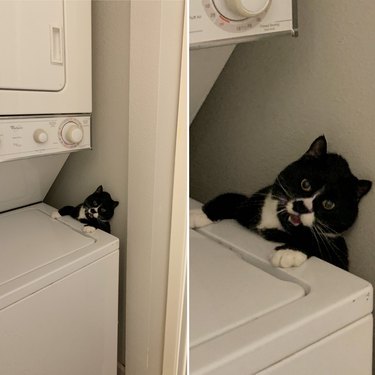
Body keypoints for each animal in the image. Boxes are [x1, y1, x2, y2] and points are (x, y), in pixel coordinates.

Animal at [191, 137, 374, 272]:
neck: (277, 224)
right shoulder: (250, 203)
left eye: (328, 204)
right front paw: (199, 214)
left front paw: (287, 253)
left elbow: (316, 243)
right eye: (305, 184)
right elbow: (229, 198)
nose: (302, 207)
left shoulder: (337, 251)